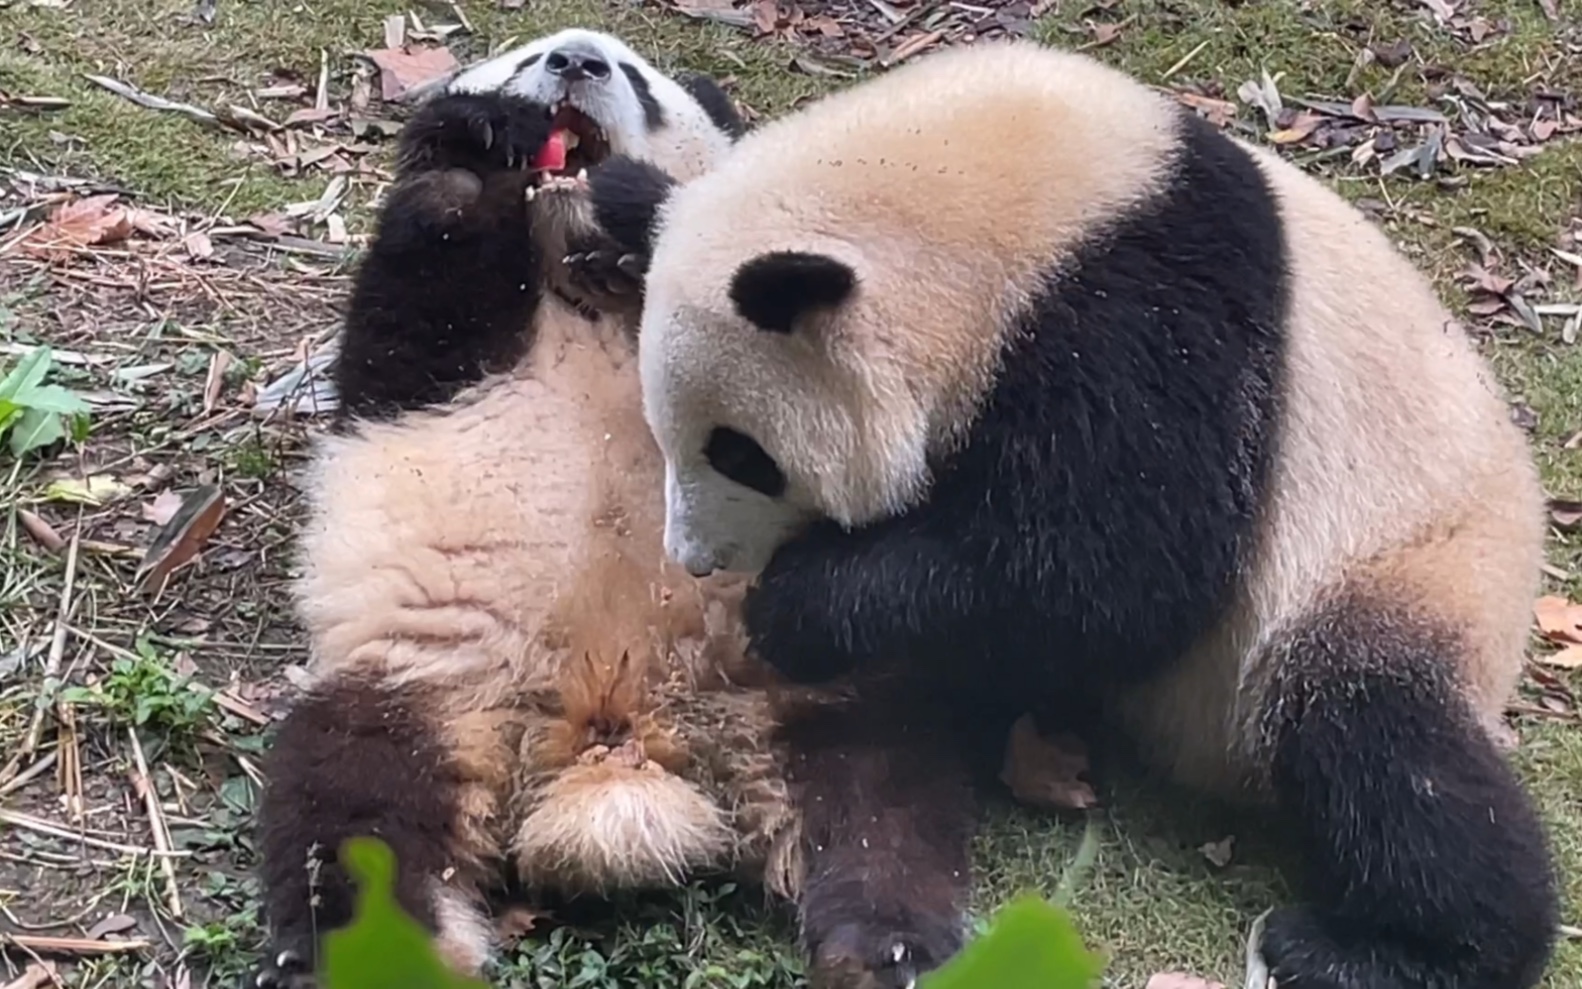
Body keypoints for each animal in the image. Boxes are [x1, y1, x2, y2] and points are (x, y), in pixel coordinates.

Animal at [253, 30, 822, 987]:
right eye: (528, 55)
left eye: (639, 80)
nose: (577, 62)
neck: (571, 279)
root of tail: (615, 729)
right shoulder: (429, 352)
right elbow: (424, 283)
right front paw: (483, 137)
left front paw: (641, 237)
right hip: (421, 689)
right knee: (351, 812)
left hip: (780, 688)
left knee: (875, 805)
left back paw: (886, 932)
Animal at [579, 34, 1556, 987]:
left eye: (740, 453)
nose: (699, 558)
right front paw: (618, 209)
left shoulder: (1142, 315)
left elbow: (1122, 569)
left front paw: (800, 603)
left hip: (1398, 569)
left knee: (1379, 739)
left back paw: (1392, 948)